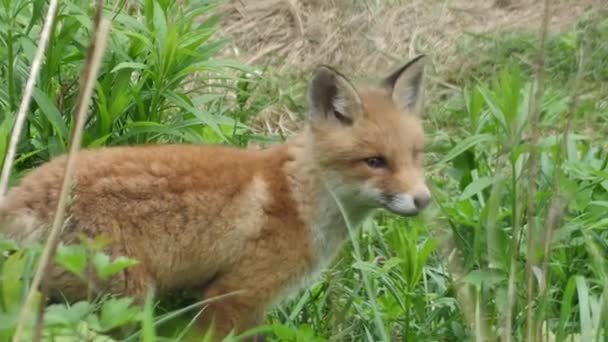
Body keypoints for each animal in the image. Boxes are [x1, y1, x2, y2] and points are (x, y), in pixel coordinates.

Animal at [0, 55, 432, 340]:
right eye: (375, 161)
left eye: (416, 155)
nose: (423, 200)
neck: (299, 199)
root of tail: (23, 194)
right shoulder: (232, 296)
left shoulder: (245, 306)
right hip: (125, 301)